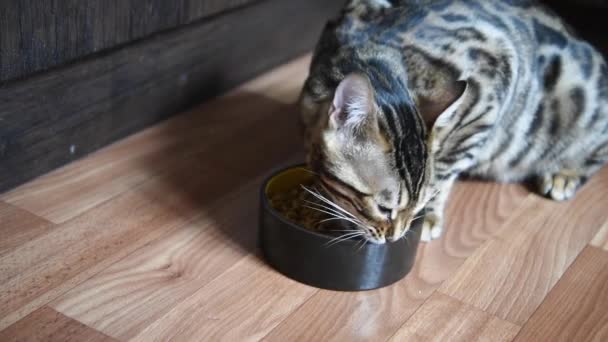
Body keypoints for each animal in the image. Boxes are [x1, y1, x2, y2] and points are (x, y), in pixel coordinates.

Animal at [300, 0, 608, 243]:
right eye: (384, 208)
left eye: (417, 206)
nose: (395, 237)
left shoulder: (491, 89)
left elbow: (445, 169)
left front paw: (430, 215)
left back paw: (564, 174)